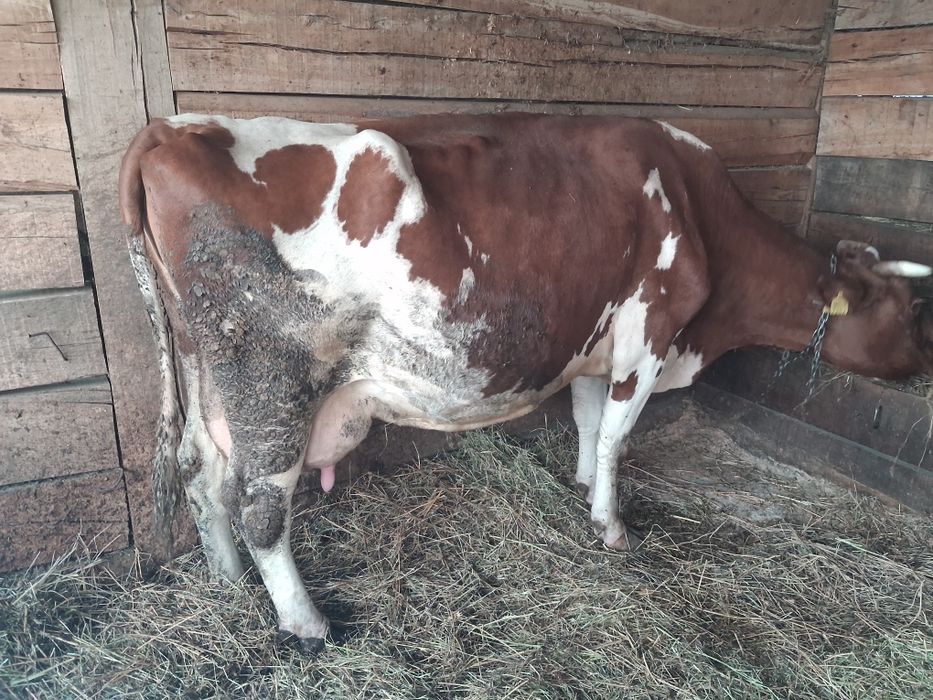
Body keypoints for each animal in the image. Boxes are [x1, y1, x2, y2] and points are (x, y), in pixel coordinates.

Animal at [119, 112, 933, 653]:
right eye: (908, 310)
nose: (924, 362)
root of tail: (175, 127)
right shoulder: (649, 331)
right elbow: (616, 435)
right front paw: (610, 526)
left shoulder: (591, 344)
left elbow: (586, 422)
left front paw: (580, 487)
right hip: (273, 380)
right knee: (259, 508)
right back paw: (306, 622)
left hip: (207, 376)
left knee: (200, 475)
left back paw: (226, 582)